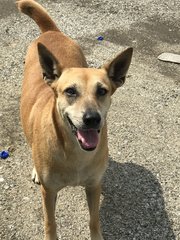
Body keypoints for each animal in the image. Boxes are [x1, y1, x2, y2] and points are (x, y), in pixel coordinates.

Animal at [17, 0, 132, 239]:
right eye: (70, 91)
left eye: (102, 91)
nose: (92, 118)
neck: (74, 152)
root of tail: (52, 31)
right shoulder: (49, 191)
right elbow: (50, 223)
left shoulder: (94, 186)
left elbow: (94, 220)